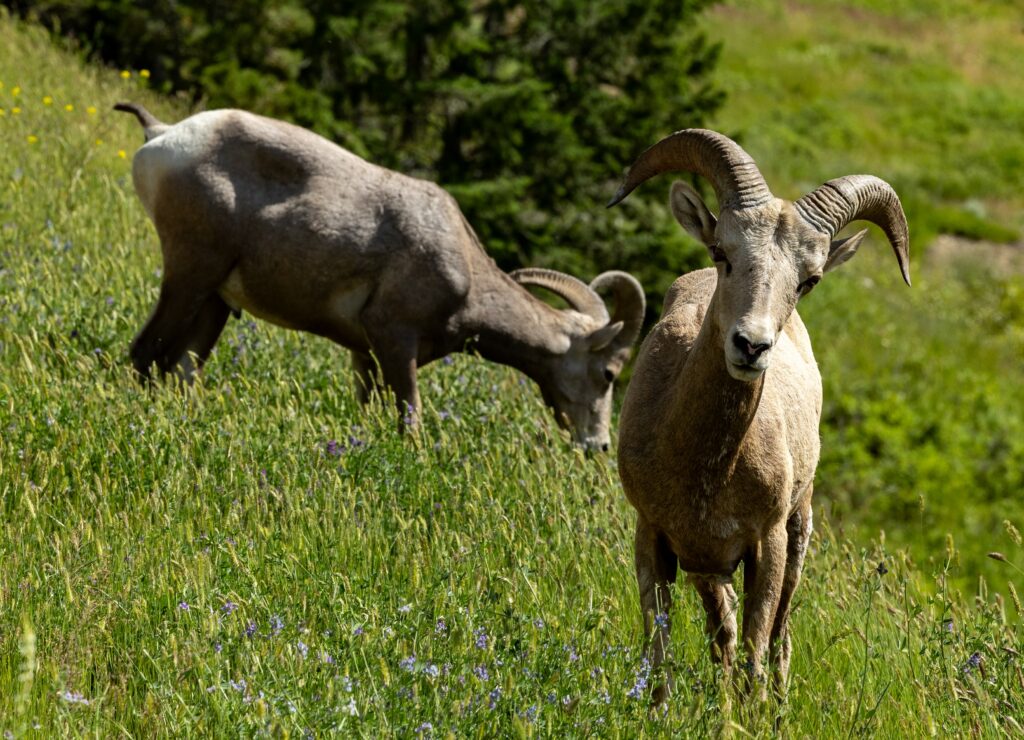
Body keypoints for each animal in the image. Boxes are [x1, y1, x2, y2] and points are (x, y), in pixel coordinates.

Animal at [114, 102, 638, 452]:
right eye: (609, 373)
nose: (598, 446)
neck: (464, 273)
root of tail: (162, 133)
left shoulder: (364, 356)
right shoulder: (394, 339)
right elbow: (411, 422)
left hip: (215, 302)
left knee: (178, 370)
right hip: (189, 276)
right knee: (143, 355)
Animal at [606, 130, 913, 704]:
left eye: (809, 280)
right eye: (721, 252)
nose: (751, 346)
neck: (703, 469)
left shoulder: (765, 545)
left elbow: (756, 655)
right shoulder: (654, 537)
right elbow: (659, 659)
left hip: (798, 532)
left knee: (778, 638)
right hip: (709, 571)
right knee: (720, 635)